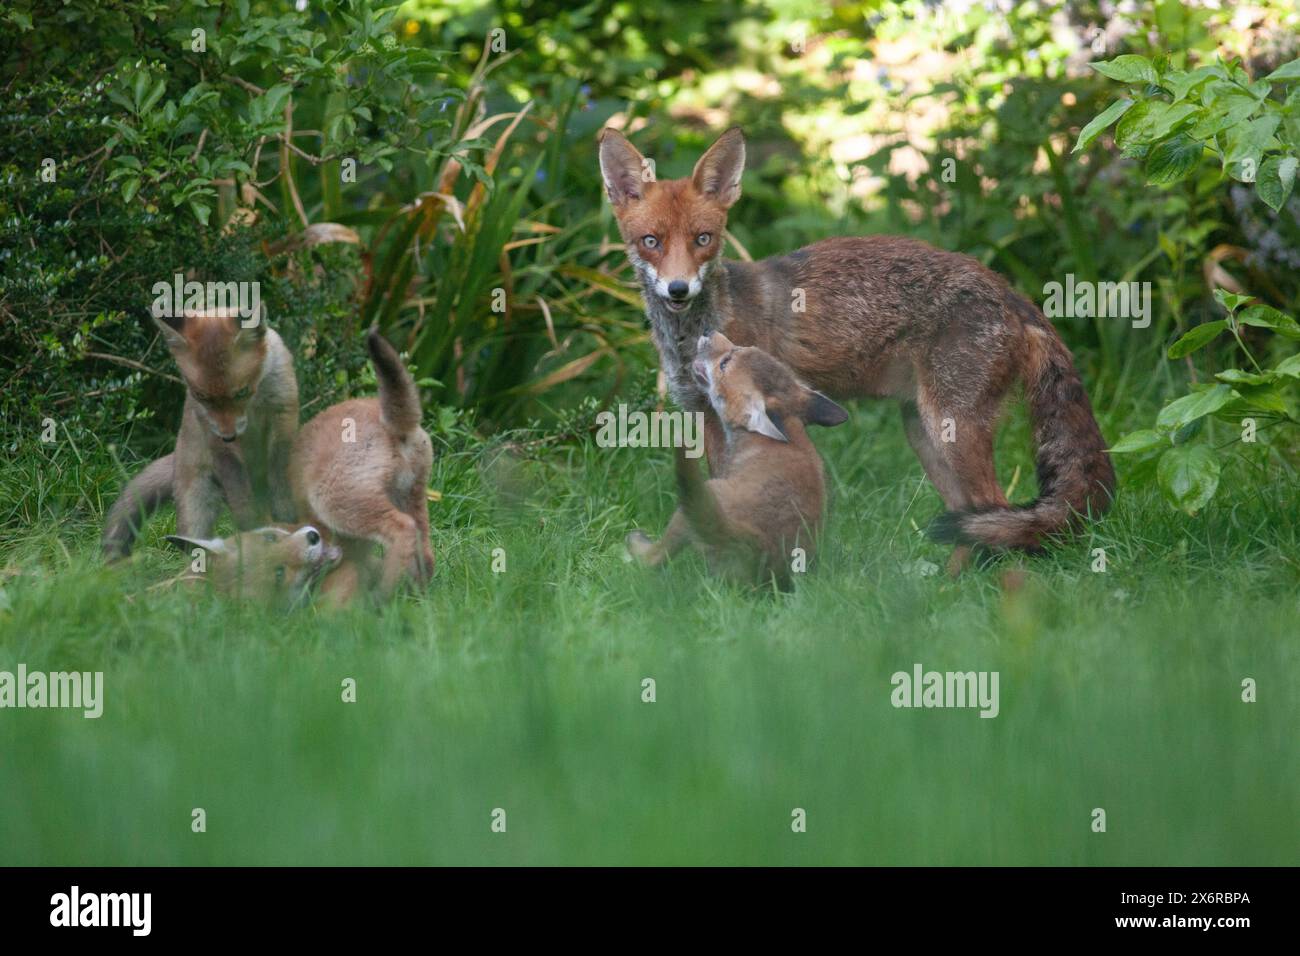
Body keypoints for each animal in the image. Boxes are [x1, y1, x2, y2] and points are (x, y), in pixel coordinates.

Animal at [600, 123, 1118, 564]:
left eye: (703, 239)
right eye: (650, 241)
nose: (678, 290)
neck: (692, 334)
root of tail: (1012, 293)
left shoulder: (730, 415)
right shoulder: (702, 414)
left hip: (951, 428)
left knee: (997, 510)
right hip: (923, 433)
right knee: (972, 518)